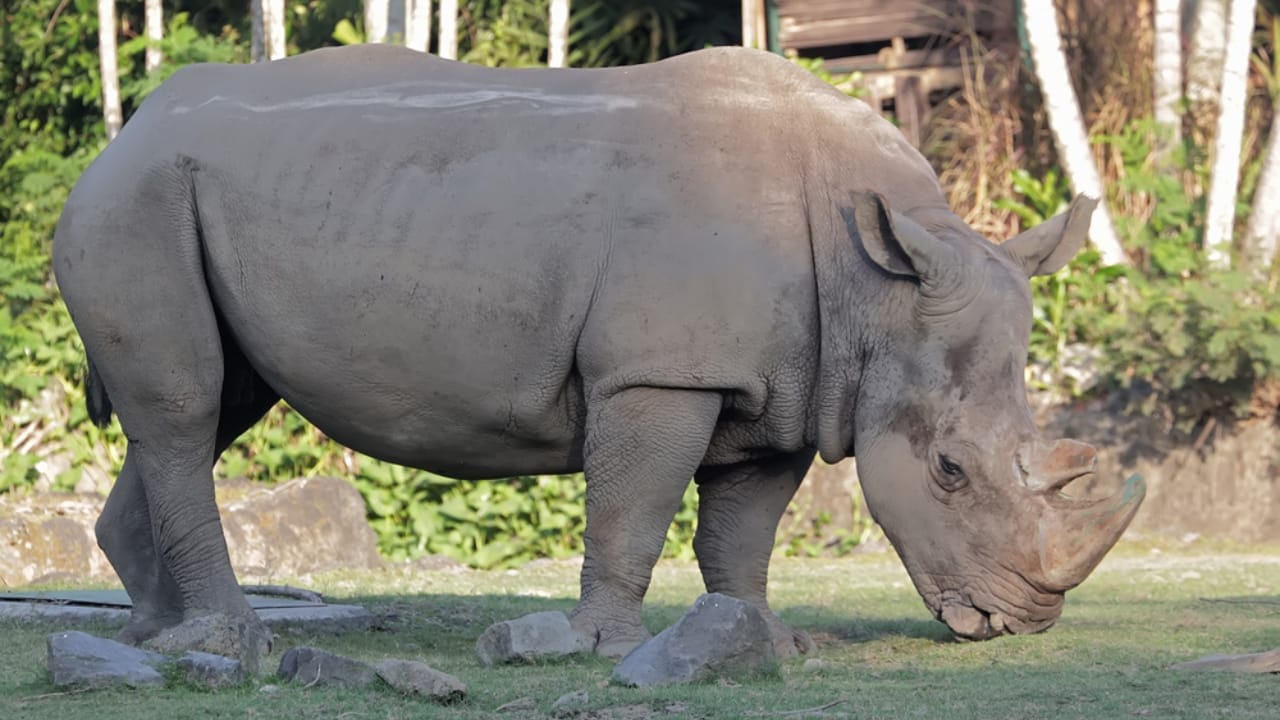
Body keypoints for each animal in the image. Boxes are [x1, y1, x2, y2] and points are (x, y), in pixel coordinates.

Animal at [53, 45, 1143, 668]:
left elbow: (742, 531)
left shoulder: (789, 384)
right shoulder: (658, 371)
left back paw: (155, 636)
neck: (874, 283)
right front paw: (604, 650)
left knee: (210, 407)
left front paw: (762, 642)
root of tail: (127, 127)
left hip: (189, 195)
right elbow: (635, 510)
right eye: (949, 470)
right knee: (187, 409)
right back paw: (229, 642)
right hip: (138, 198)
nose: (1023, 621)